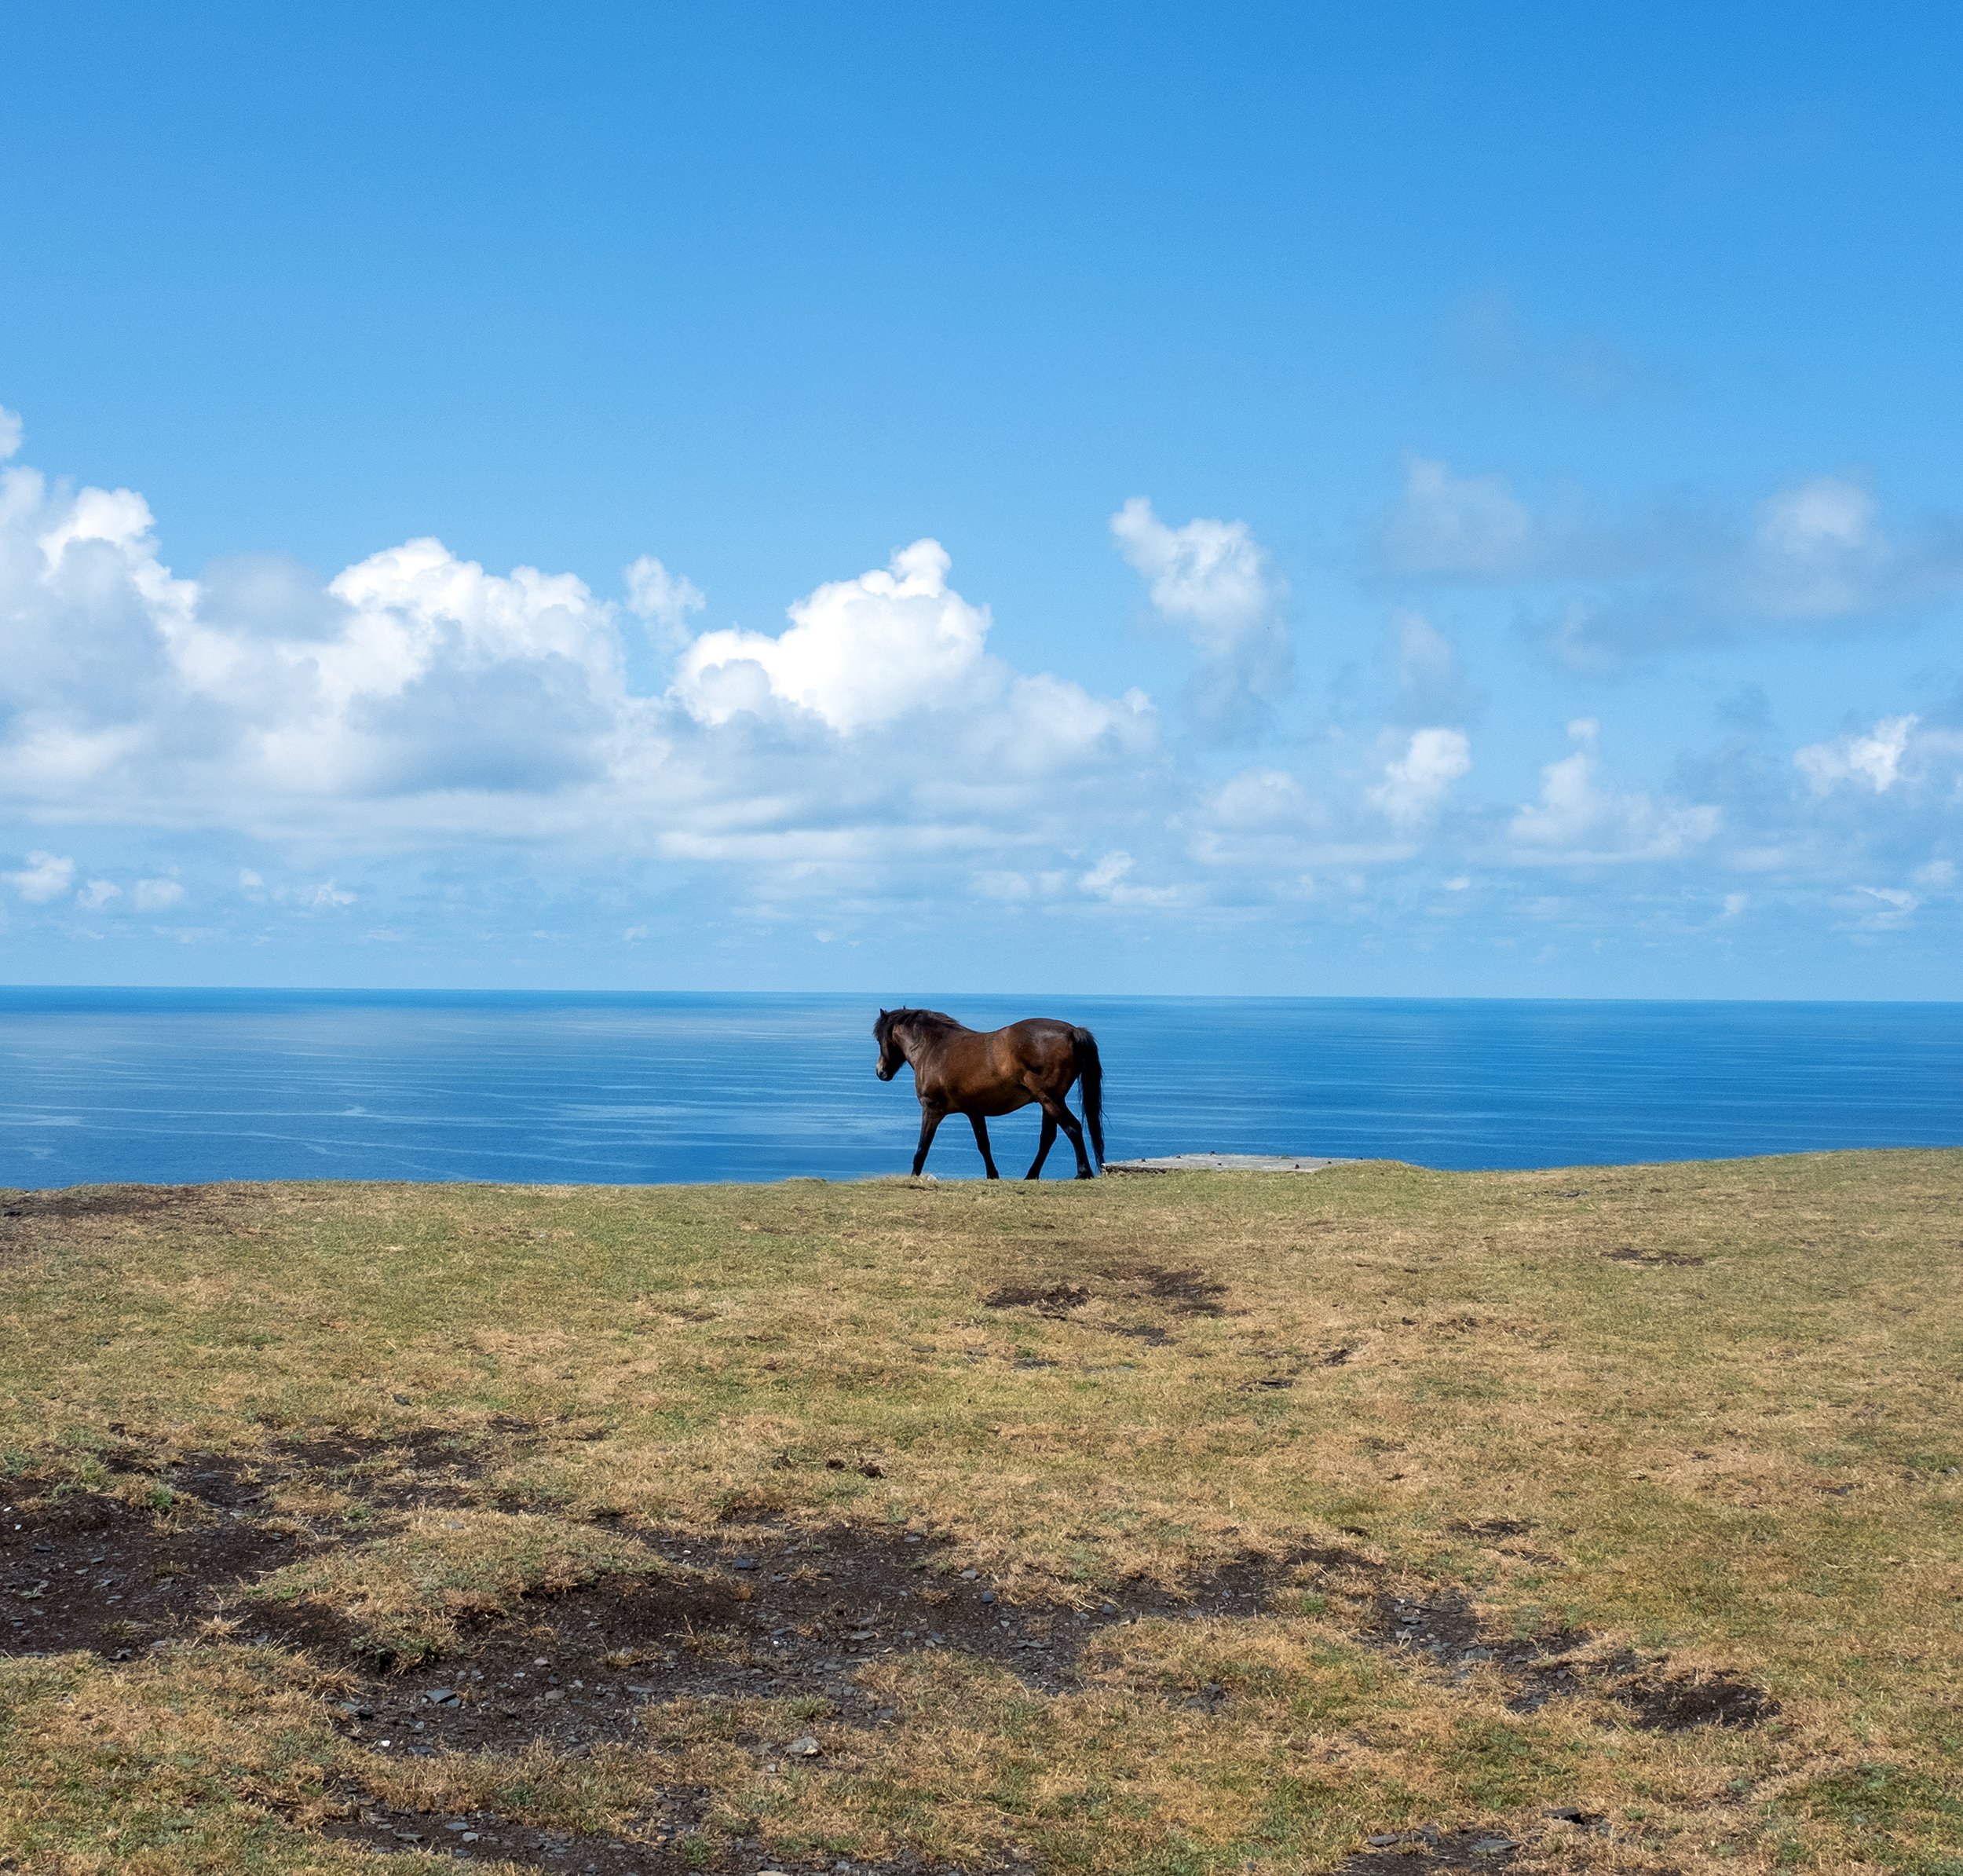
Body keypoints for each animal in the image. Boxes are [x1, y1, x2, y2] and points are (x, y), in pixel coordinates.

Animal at [873, 1008, 1104, 1180]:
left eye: (880, 1039)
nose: (881, 1071)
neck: (934, 1048)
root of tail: (1073, 1031)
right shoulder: (974, 1111)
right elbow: (984, 1145)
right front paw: (993, 1175)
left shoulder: (931, 1109)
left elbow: (922, 1148)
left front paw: (914, 1177)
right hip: (1047, 1101)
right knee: (1048, 1137)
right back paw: (1031, 1175)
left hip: (1050, 1098)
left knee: (1073, 1128)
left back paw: (1083, 1172)